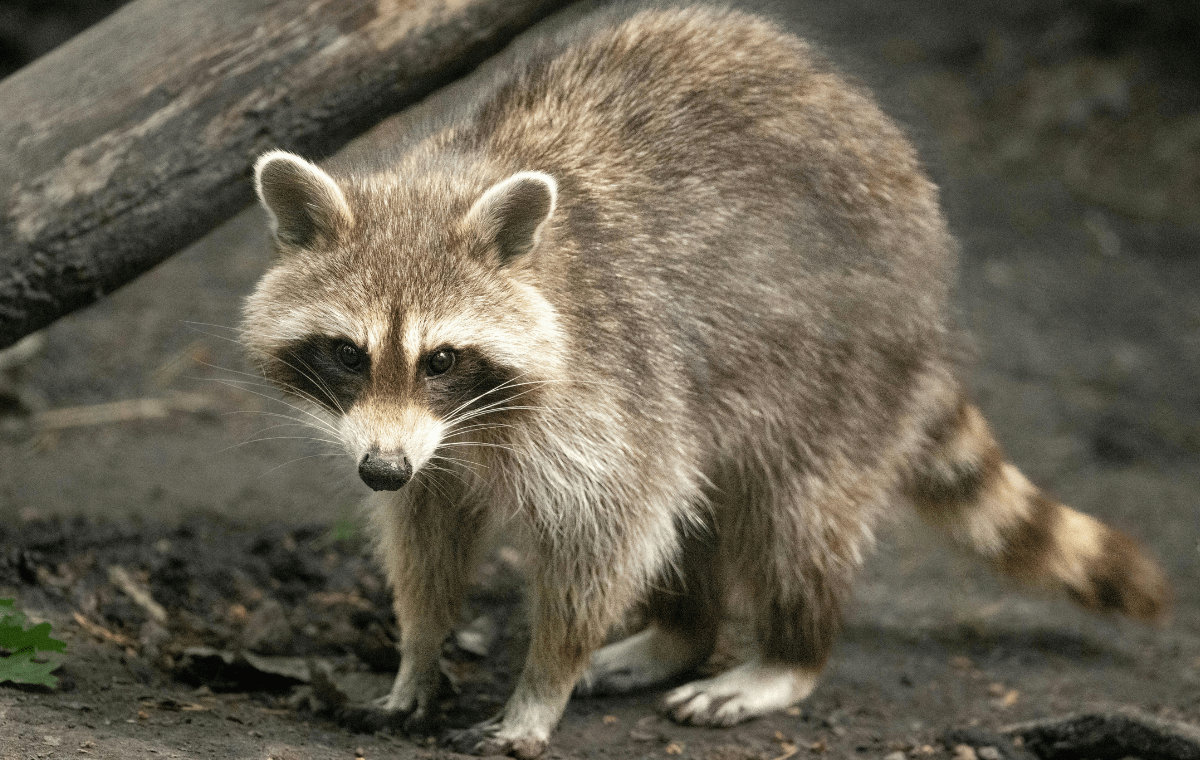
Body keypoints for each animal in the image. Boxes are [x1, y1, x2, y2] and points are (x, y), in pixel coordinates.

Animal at [241, 6, 1171, 758]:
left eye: (440, 359)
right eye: (348, 354)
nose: (379, 469)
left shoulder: (609, 388)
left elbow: (607, 535)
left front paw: (543, 684)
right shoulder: (425, 449)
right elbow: (426, 533)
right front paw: (418, 651)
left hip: (841, 364)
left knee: (795, 514)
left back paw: (788, 653)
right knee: (694, 500)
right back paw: (681, 633)